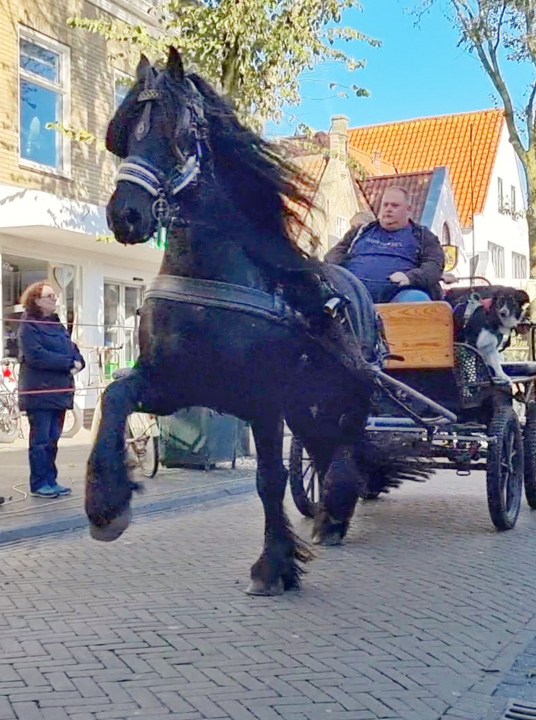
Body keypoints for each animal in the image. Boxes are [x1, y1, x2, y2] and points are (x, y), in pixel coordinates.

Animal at [88, 46, 420, 596]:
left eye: (180, 130)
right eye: (126, 131)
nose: (125, 214)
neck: (209, 276)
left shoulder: (265, 401)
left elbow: (270, 479)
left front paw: (274, 565)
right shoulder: (174, 383)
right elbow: (112, 396)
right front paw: (106, 505)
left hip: (344, 398)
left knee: (347, 448)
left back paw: (334, 515)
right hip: (310, 405)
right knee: (324, 450)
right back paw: (330, 514)